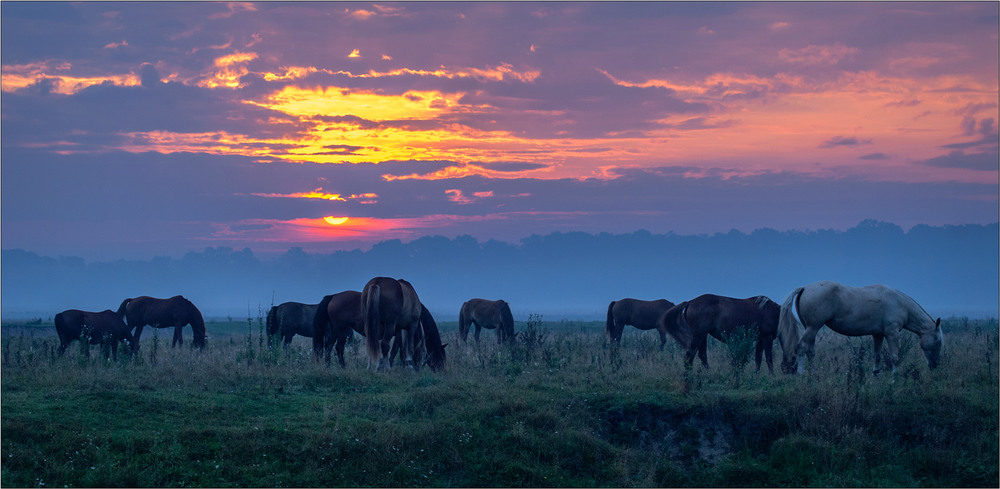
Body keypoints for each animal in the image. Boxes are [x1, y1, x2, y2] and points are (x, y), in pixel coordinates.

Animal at [776, 278, 940, 374]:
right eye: (937, 340)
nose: (935, 365)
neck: (900, 303)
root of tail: (805, 288)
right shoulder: (892, 333)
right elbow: (894, 356)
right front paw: (894, 377)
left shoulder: (878, 334)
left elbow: (877, 355)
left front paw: (875, 374)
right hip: (813, 327)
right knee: (802, 347)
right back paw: (801, 373)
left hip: (811, 328)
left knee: (810, 351)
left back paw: (814, 373)